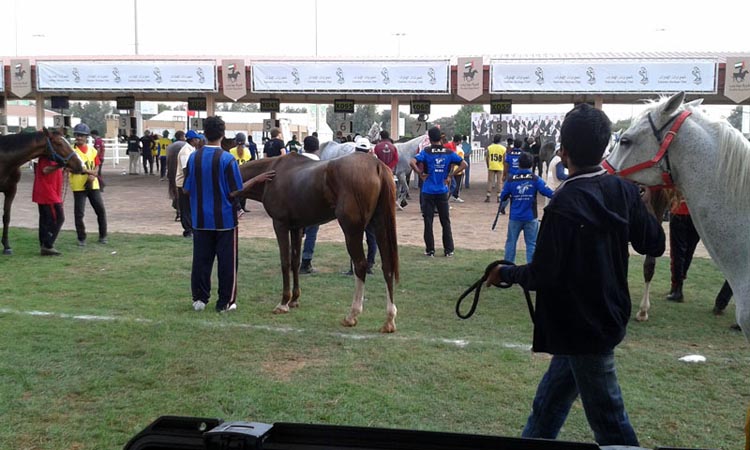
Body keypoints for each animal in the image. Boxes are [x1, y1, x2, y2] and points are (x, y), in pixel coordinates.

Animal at [235, 153, 402, 332]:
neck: (272, 171)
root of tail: (377, 164)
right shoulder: (297, 228)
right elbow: (295, 261)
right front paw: (294, 299)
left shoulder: (280, 225)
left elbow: (285, 262)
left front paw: (283, 303)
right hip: (380, 224)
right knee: (387, 266)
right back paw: (389, 320)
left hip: (352, 230)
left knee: (360, 265)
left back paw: (352, 315)